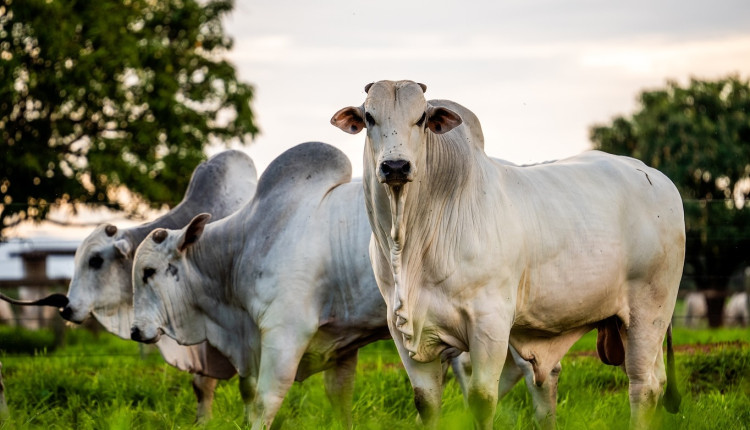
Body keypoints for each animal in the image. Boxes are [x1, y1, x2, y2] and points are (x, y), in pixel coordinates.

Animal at [131, 142, 564, 430]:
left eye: (149, 271)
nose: (135, 331)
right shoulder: (338, 345)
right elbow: (338, 399)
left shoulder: (284, 334)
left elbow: (265, 403)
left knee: (528, 374)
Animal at [334, 81, 688, 430]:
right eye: (369, 117)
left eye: (421, 118)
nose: (395, 166)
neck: (411, 244)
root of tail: (654, 175)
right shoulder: (403, 330)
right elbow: (426, 403)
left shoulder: (490, 323)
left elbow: (481, 399)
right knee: (653, 381)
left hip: (650, 311)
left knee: (643, 385)